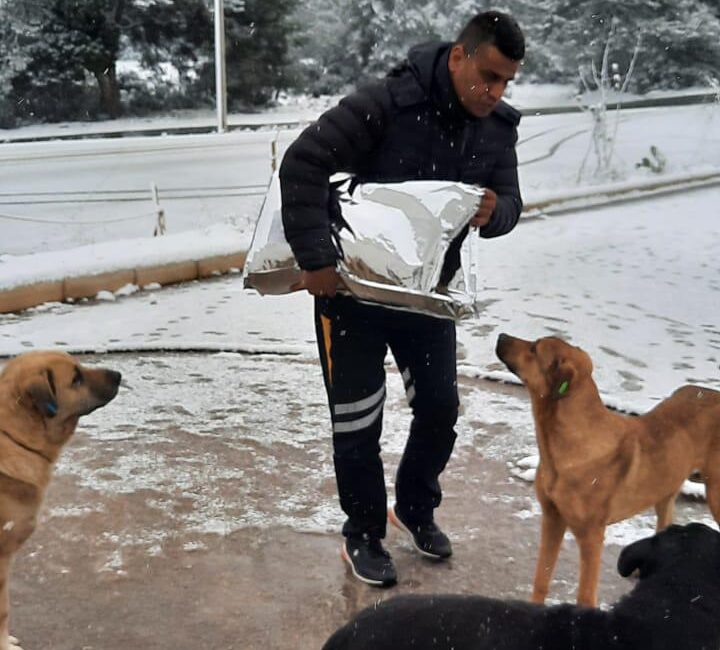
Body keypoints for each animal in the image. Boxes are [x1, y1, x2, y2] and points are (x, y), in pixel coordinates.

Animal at [496, 332, 720, 604]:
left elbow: (585, 595)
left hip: (715, 492)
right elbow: (541, 579)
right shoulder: (552, 518)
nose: (501, 335)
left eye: (534, 349)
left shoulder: (592, 536)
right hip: (665, 486)